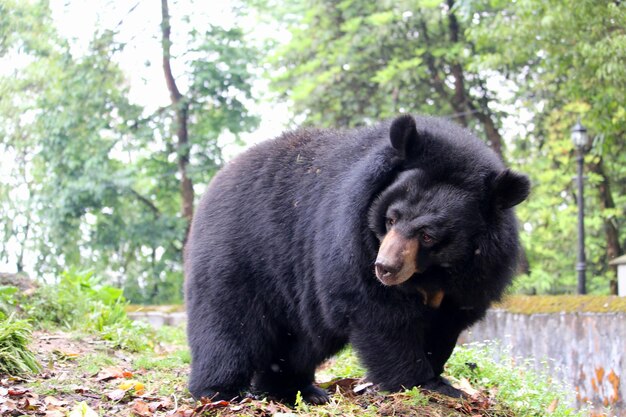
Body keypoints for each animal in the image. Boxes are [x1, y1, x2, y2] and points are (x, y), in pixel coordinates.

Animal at [184, 114, 528, 404]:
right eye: (391, 218)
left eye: (428, 235)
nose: (385, 268)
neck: (432, 273)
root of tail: (217, 181)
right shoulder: (350, 236)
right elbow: (376, 311)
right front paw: (424, 383)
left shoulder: (475, 276)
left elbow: (446, 325)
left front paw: (437, 378)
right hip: (239, 256)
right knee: (229, 326)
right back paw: (219, 391)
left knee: (298, 343)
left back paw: (296, 390)